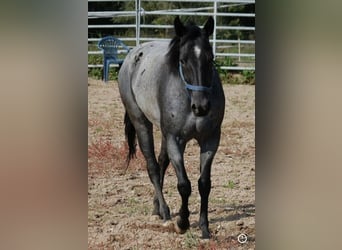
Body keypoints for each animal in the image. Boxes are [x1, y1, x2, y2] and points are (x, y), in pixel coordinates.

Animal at [119, 16, 226, 238]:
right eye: (182, 60)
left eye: (210, 58)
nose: (201, 107)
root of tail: (132, 56)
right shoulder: (175, 140)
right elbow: (184, 185)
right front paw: (182, 223)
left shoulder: (210, 140)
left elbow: (204, 184)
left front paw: (204, 228)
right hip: (142, 122)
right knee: (152, 166)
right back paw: (165, 212)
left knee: (161, 163)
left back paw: (156, 208)